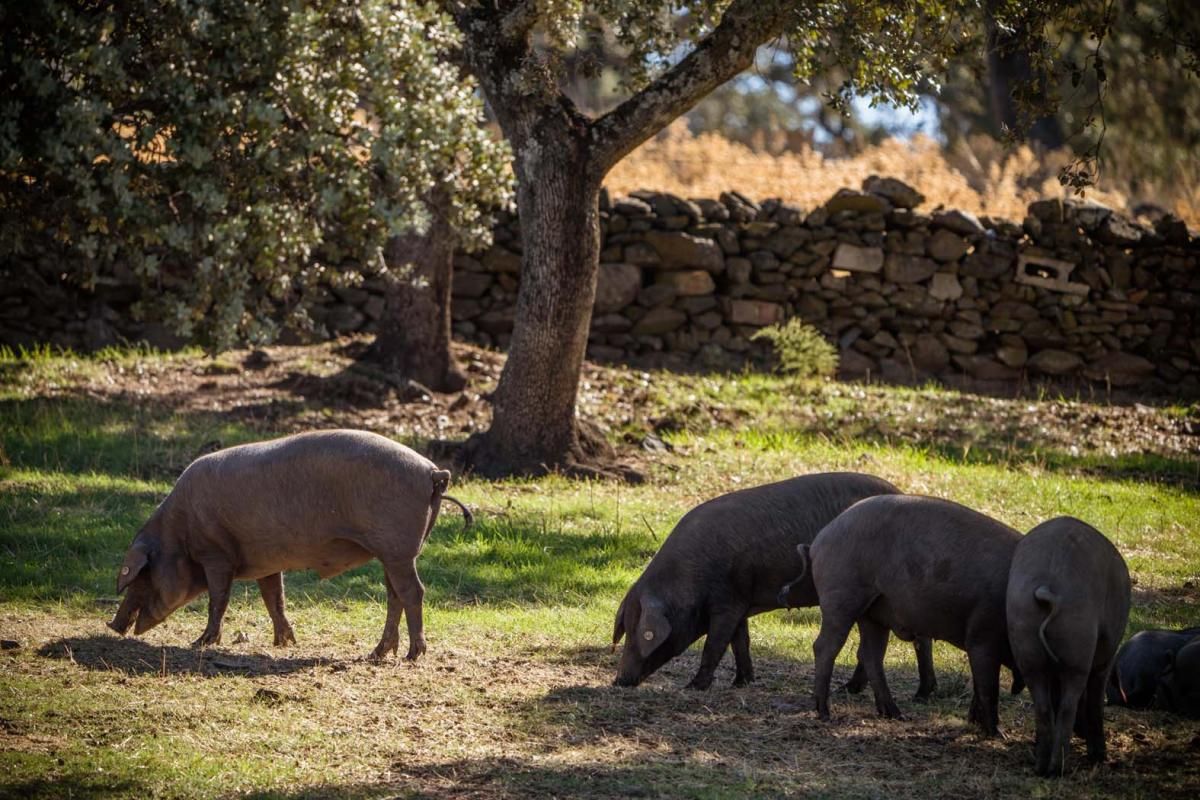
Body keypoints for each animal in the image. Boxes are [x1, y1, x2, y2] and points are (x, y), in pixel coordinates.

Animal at [108, 429, 470, 662]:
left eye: (143, 574)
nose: (113, 625)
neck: (179, 532)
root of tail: (433, 472)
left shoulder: (216, 554)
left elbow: (218, 599)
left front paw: (200, 643)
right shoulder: (266, 563)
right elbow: (274, 599)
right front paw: (284, 643)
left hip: (397, 549)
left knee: (413, 592)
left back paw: (412, 655)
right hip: (391, 553)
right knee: (394, 595)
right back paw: (378, 653)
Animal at [1008, 520, 1128, 777]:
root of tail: (1050, 588)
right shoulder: (1105, 661)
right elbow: (1095, 701)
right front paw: (1099, 756)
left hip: (1025, 640)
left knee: (1043, 706)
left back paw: (1042, 767)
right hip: (1078, 645)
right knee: (1067, 707)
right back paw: (1059, 767)